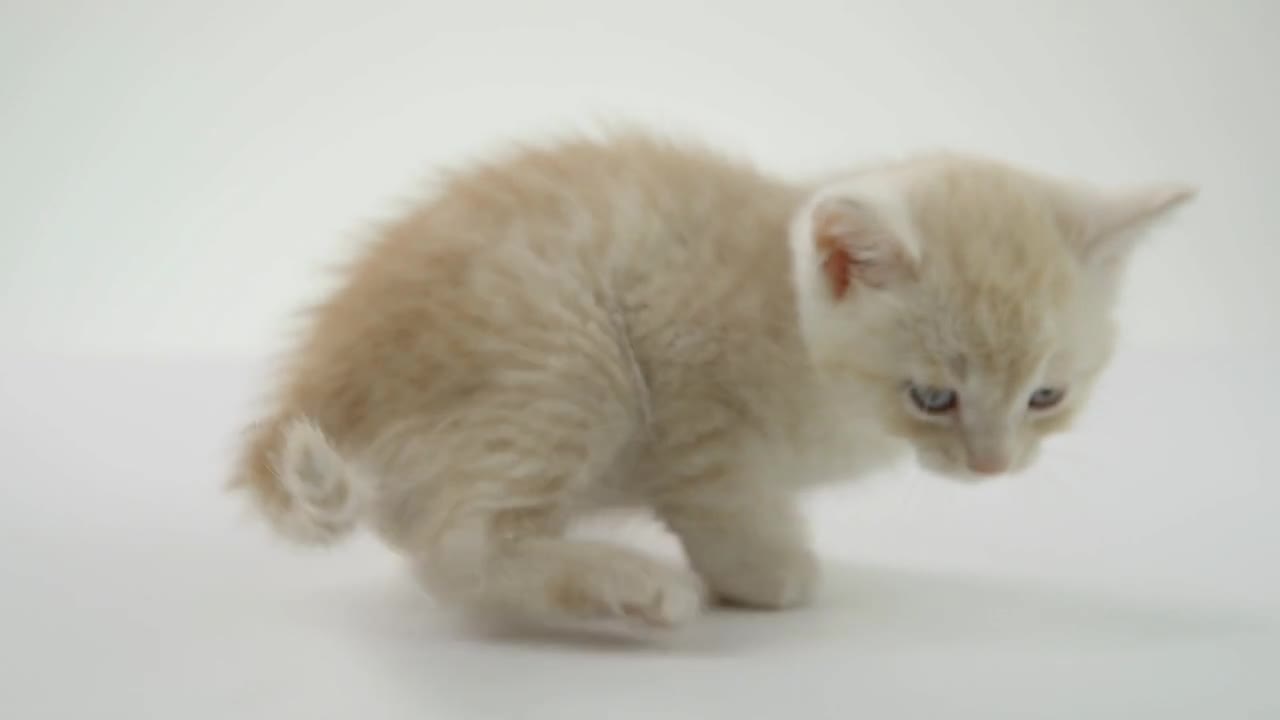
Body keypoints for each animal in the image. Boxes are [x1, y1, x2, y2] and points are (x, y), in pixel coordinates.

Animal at [227, 131, 1187, 630]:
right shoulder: (685, 376)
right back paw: (633, 587)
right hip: (567, 358)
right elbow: (723, 496)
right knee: (458, 544)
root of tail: (309, 388)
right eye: (934, 397)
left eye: (1045, 397)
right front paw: (767, 572)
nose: (992, 466)